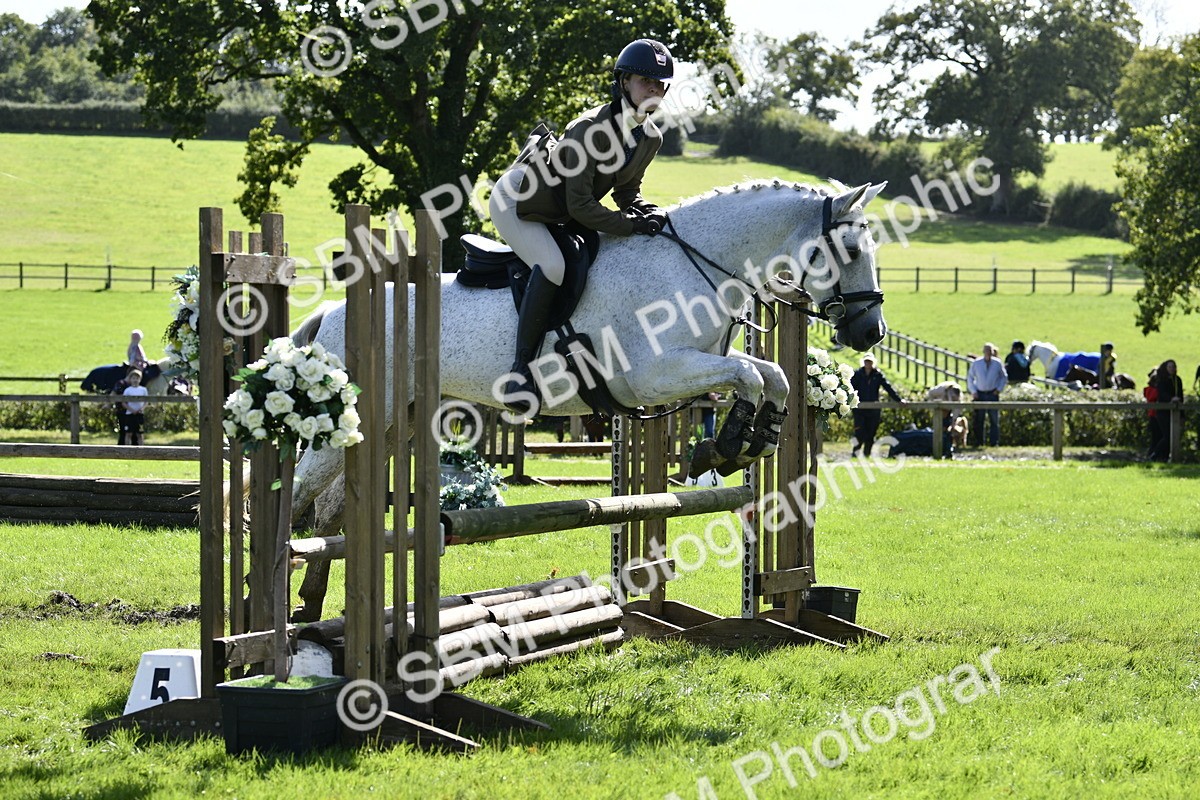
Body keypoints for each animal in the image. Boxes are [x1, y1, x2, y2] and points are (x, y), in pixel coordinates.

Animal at [286, 180, 889, 620]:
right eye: (850, 250)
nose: (870, 333)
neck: (696, 263)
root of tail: (333, 312)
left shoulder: (693, 366)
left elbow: (772, 378)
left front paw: (741, 445)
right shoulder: (655, 375)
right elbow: (750, 375)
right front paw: (725, 446)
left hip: (399, 421)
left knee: (333, 506)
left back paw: (310, 604)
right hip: (369, 419)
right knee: (300, 492)